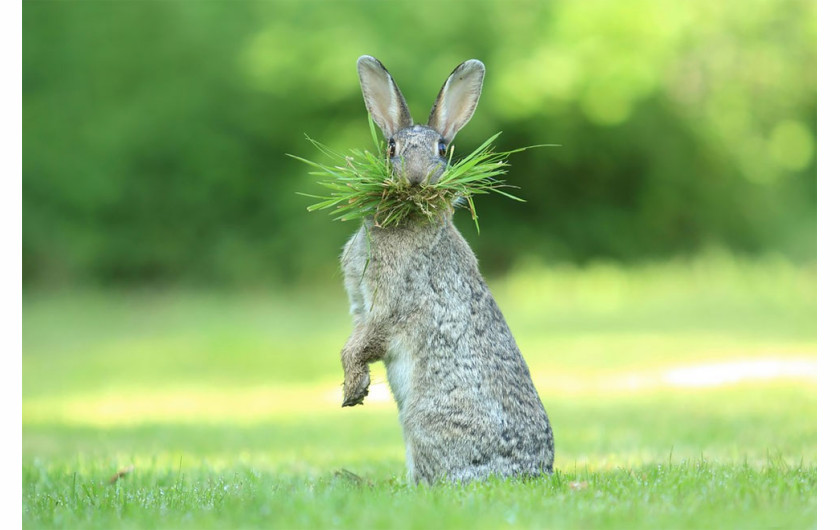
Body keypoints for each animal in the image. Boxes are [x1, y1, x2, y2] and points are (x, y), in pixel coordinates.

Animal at [338, 54, 556, 482]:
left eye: (442, 148)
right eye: (392, 147)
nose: (416, 177)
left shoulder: (389, 304)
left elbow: (364, 342)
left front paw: (353, 390)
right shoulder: (361, 305)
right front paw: (355, 388)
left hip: (423, 420)